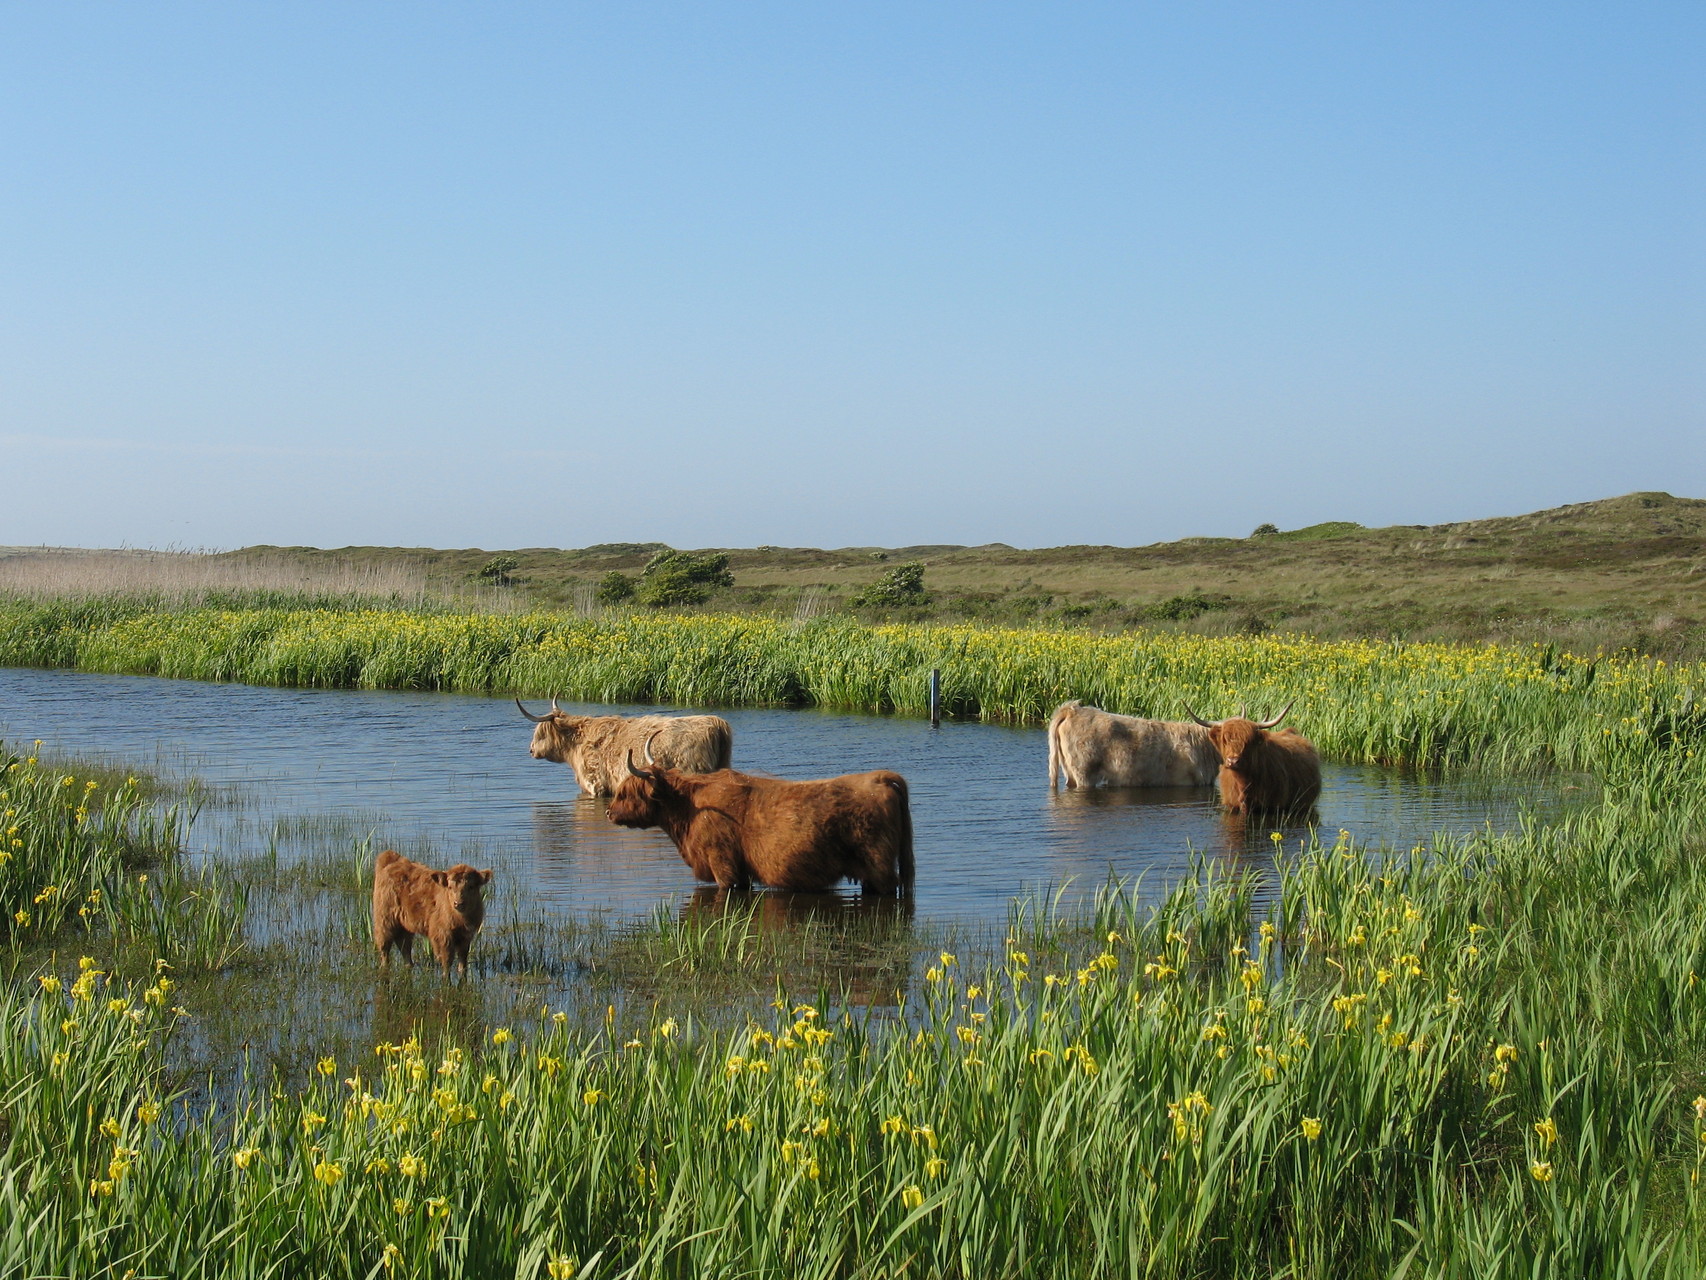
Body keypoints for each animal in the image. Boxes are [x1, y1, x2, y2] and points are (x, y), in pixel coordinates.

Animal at [371, 853, 494, 983]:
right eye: (450, 887)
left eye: (471, 887)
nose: (458, 903)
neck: (461, 920)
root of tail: (391, 858)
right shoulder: (442, 936)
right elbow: (447, 960)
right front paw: (445, 977)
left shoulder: (466, 937)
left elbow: (463, 961)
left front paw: (462, 973)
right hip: (384, 920)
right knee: (384, 947)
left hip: (405, 925)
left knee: (405, 947)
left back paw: (409, 965)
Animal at [607, 740, 914, 894]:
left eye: (626, 793)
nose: (609, 811)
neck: (689, 809)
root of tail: (878, 777)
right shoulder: (741, 872)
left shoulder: (722, 864)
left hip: (878, 866)